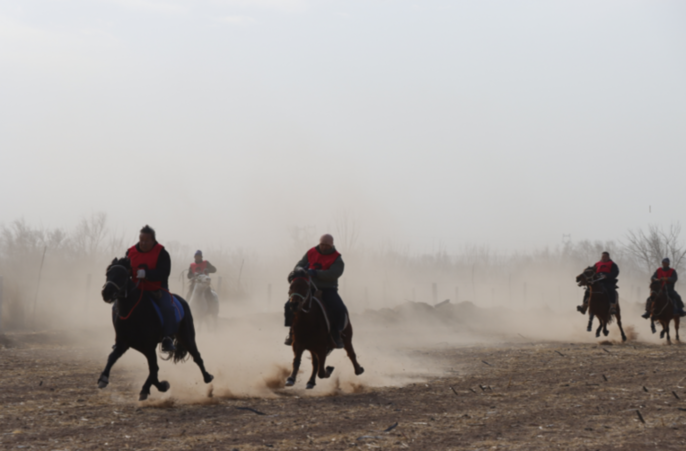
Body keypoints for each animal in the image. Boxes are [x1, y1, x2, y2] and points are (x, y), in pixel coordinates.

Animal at [98, 260, 214, 400]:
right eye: (108, 273)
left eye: (123, 275)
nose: (106, 293)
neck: (134, 313)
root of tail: (182, 300)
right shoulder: (123, 343)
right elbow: (112, 358)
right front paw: (103, 379)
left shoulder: (149, 347)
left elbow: (154, 369)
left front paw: (152, 388)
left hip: (187, 336)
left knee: (197, 356)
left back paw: (208, 377)